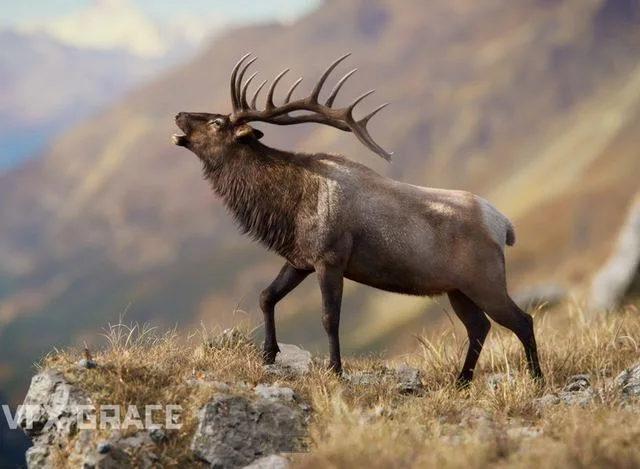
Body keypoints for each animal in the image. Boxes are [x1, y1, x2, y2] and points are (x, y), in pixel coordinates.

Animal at [172, 53, 543, 386]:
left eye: (217, 122)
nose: (178, 114)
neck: (285, 208)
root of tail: (504, 225)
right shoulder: (300, 259)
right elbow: (266, 295)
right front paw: (268, 354)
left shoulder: (331, 257)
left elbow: (329, 318)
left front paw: (336, 370)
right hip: (458, 288)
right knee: (479, 326)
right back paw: (461, 380)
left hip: (486, 280)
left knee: (521, 320)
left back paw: (536, 379)